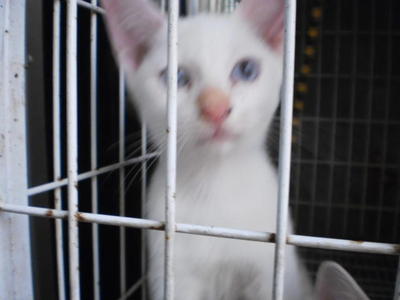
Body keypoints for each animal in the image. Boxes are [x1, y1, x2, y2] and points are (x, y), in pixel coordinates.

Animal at [103, 0, 312, 298]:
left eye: (246, 70)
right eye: (177, 77)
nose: (215, 108)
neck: (215, 185)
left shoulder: (270, 272)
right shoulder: (171, 272)